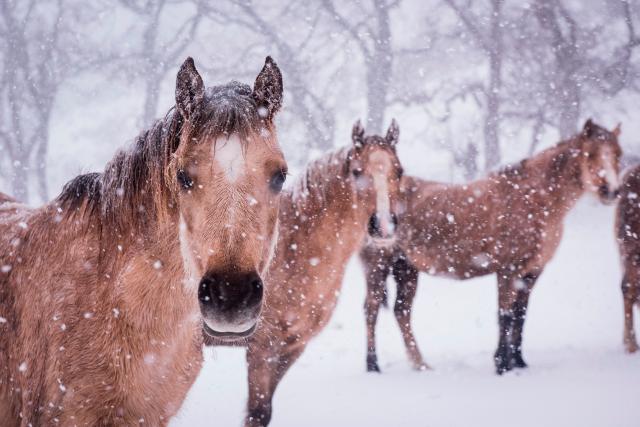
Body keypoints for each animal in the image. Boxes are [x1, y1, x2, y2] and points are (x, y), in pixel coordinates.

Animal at [362, 119, 624, 374]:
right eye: (591, 154)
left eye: (617, 154)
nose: (612, 191)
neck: (535, 200)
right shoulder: (508, 270)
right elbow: (505, 315)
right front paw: (502, 364)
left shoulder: (531, 271)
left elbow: (520, 315)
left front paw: (519, 362)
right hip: (379, 265)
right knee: (371, 309)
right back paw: (373, 365)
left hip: (406, 269)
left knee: (401, 311)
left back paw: (420, 364)